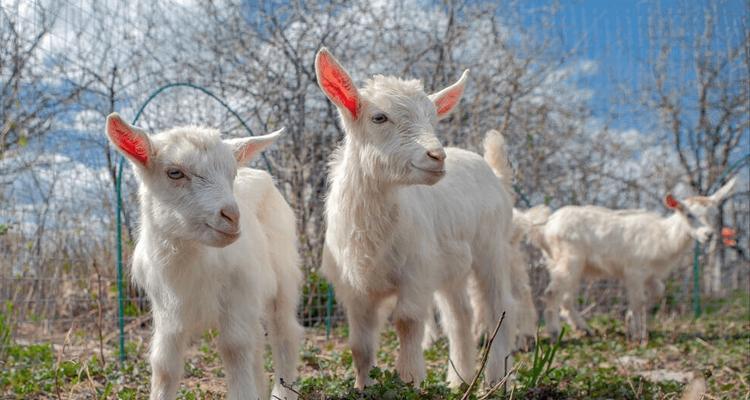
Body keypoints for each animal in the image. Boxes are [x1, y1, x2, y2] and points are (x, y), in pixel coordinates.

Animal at [536, 179, 736, 344]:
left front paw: (630, 320)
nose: (708, 235)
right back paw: (554, 333)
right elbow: (639, 299)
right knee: (552, 293)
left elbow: (657, 293)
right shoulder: (634, 271)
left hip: (563, 263)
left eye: (715, 214)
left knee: (566, 298)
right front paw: (637, 334)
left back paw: (584, 329)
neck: (664, 236)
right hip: (568, 259)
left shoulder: (650, 275)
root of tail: (546, 226)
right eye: (689, 215)